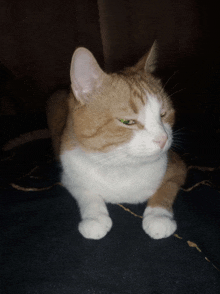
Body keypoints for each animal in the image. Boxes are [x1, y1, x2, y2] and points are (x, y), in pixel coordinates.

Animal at [46, 42, 186, 240]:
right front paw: (95, 218)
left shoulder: (178, 168)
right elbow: (87, 192)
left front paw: (158, 216)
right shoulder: (68, 175)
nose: (163, 138)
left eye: (164, 114)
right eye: (128, 121)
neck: (120, 166)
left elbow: (165, 189)